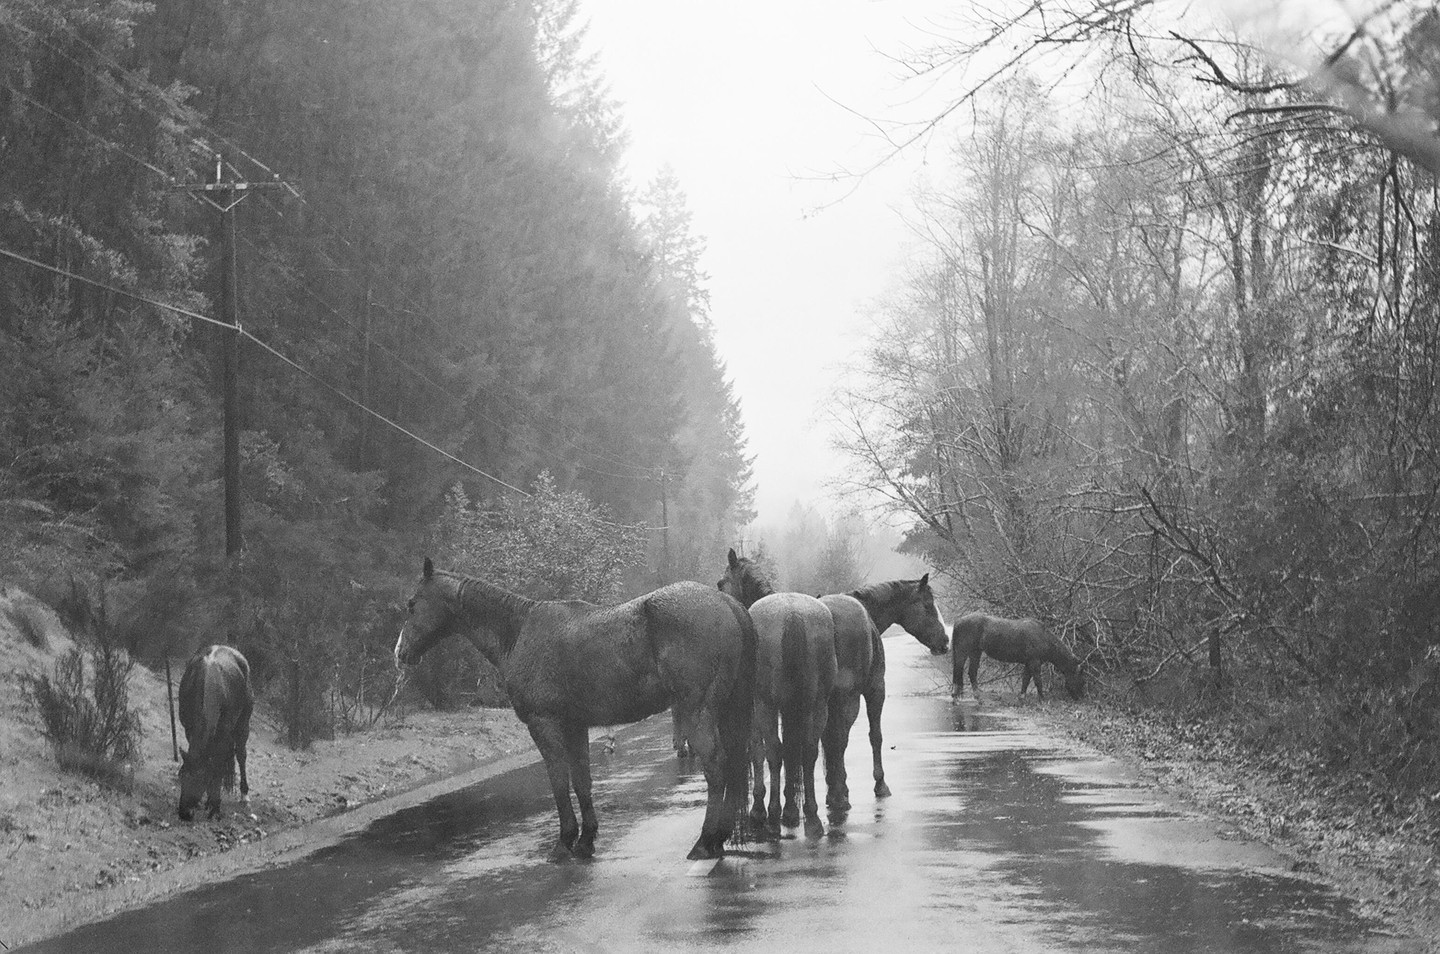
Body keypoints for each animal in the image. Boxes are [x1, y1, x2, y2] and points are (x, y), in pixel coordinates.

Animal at [177, 644, 254, 821]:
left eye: (201, 781)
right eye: (183, 777)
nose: (184, 813)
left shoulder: (224, 734)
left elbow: (218, 765)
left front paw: (215, 806)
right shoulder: (189, 729)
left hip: (242, 724)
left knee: (241, 755)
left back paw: (244, 795)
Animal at [395, 558, 755, 860]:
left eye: (412, 604)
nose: (400, 653)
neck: (520, 631)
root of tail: (727, 604)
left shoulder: (544, 724)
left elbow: (558, 781)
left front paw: (563, 842)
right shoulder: (575, 726)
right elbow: (582, 781)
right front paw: (585, 841)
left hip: (698, 713)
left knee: (716, 767)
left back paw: (705, 842)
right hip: (724, 711)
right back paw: (719, 838)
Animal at [717, 548, 836, 839]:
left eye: (721, 583)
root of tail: (792, 615)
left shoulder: (754, 710)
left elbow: (759, 753)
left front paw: (760, 808)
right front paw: (791, 810)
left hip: (766, 705)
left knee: (774, 750)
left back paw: (771, 817)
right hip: (817, 705)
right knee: (808, 750)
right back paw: (811, 818)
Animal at [819, 575, 948, 813]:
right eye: (927, 605)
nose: (945, 642)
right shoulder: (876, 689)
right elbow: (875, 736)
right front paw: (880, 784)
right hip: (848, 700)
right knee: (839, 739)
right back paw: (839, 796)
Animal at [950, 612, 1085, 701]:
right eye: (1080, 679)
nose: (1080, 698)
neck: (1043, 637)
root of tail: (958, 622)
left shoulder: (1029, 663)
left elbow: (1025, 680)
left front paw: (1022, 697)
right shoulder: (1034, 663)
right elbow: (1037, 680)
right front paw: (1042, 698)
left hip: (975, 652)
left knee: (971, 672)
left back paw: (976, 696)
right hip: (963, 651)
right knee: (958, 669)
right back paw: (957, 694)